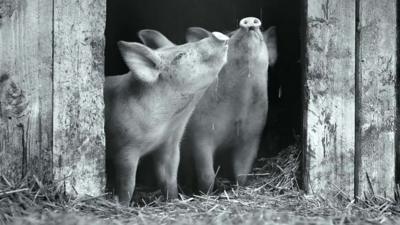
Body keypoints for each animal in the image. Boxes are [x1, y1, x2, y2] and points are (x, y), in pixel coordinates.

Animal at [104, 29, 228, 204]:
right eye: (180, 55)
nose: (217, 35)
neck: (167, 122)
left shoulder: (169, 144)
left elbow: (169, 178)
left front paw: (174, 200)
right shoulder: (125, 148)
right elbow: (127, 184)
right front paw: (122, 204)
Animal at [181, 17, 278, 193]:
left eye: (262, 36)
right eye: (230, 35)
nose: (250, 21)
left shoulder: (252, 135)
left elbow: (242, 171)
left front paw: (239, 188)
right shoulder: (201, 133)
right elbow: (207, 174)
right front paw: (206, 193)